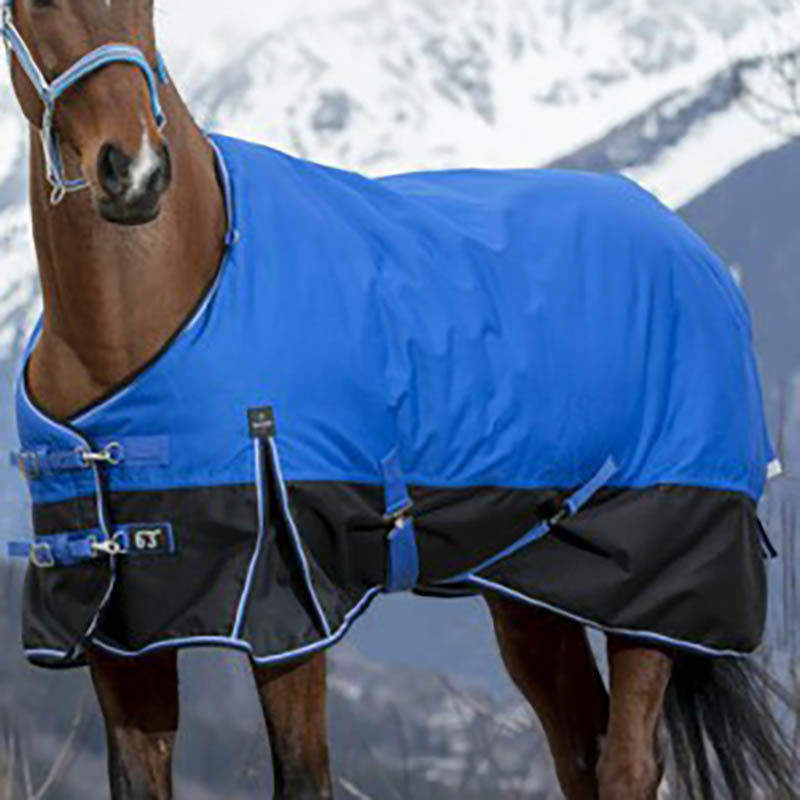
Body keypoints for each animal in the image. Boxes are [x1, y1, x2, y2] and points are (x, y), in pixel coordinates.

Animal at [1, 2, 796, 799]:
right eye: (37, 8)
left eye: (152, 11)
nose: (135, 174)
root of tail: (695, 254)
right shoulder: (121, 635)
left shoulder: (290, 613)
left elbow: (305, 775)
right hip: (535, 594)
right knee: (581, 748)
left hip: (654, 585)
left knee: (628, 761)